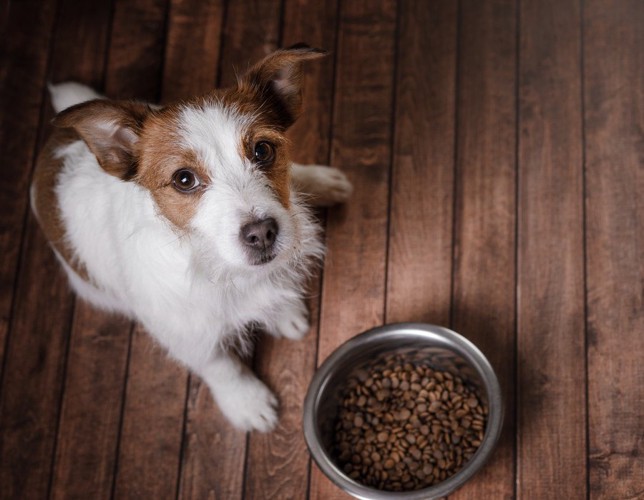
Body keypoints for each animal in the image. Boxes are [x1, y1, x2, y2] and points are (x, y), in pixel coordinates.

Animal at [30, 45, 352, 432]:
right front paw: (248, 403)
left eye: (262, 150)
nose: (262, 233)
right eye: (184, 179)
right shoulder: (186, 333)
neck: (215, 265)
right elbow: (222, 367)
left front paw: (283, 311)